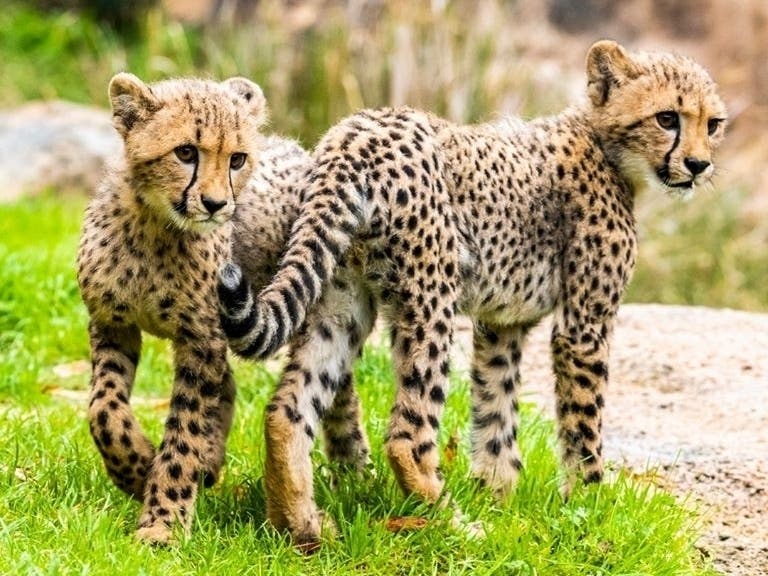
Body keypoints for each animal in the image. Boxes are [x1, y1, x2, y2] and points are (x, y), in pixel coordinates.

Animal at [76, 72, 320, 544]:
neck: (156, 228)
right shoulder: (113, 322)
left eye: (237, 160)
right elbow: (103, 407)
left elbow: (184, 432)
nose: (215, 204)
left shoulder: (200, 339)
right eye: (186, 152)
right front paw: (135, 468)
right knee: (226, 384)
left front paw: (162, 522)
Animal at [216, 40, 727, 547]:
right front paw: (589, 508)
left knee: (288, 410)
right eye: (667, 118)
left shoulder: (503, 323)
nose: (698, 165)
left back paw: (302, 527)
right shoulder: (584, 326)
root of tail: (356, 130)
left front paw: (499, 500)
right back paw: (456, 524)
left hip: (342, 301)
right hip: (432, 293)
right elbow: (584, 423)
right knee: (407, 435)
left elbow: (496, 411)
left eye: (713, 124)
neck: (603, 143)